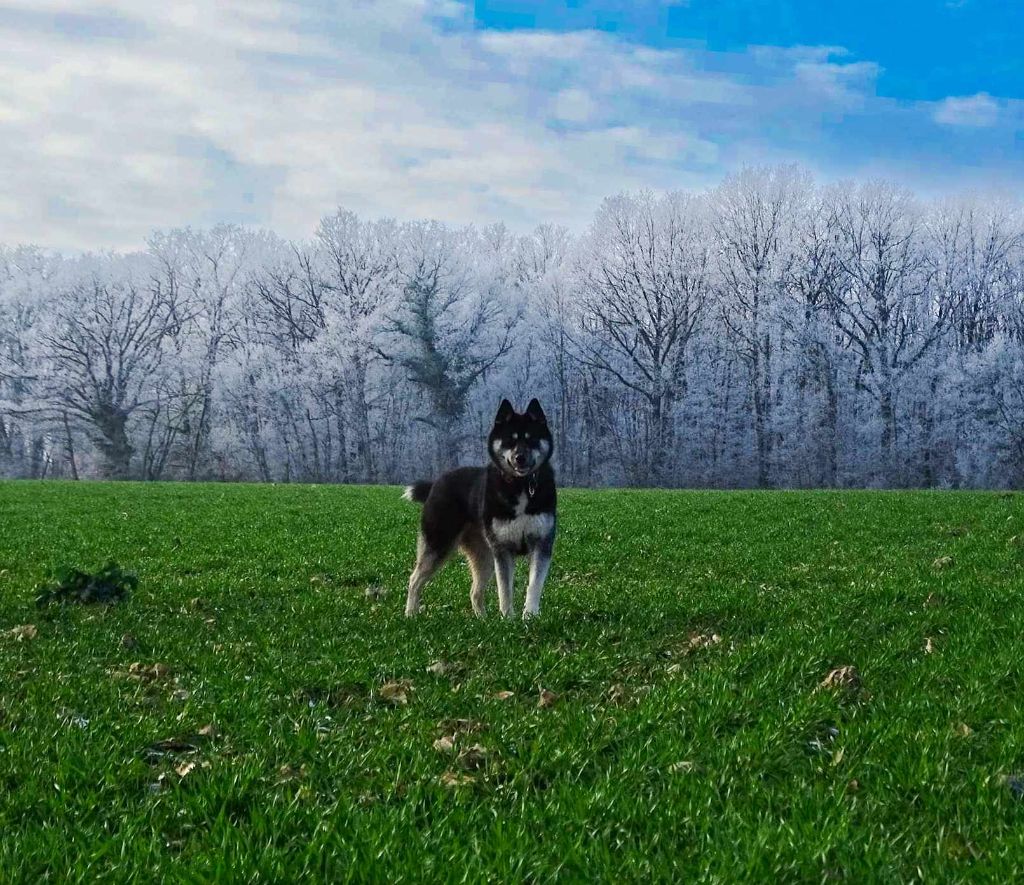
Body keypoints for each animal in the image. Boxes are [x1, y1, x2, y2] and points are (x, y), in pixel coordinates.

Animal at [401, 397, 561, 618]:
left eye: (531, 439)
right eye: (510, 440)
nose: (520, 458)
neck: (520, 485)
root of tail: (435, 483)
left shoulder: (542, 544)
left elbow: (534, 585)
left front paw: (529, 616)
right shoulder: (502, 549)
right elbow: (505, 590)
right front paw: (508, 619)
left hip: (483, 554)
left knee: (475, 591)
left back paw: (482, 620)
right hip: (438, 544)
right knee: (414, 580)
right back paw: (410, 614)